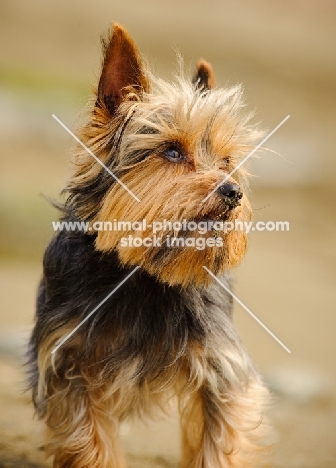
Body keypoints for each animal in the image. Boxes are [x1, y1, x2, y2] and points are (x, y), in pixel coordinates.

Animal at [28, 23, 270, 468]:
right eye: (171, 151)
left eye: (226, 161)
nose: (233, 192)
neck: (144, 275)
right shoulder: (69, 366)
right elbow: (89, 442)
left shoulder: (220, 368)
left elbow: (218, 439)